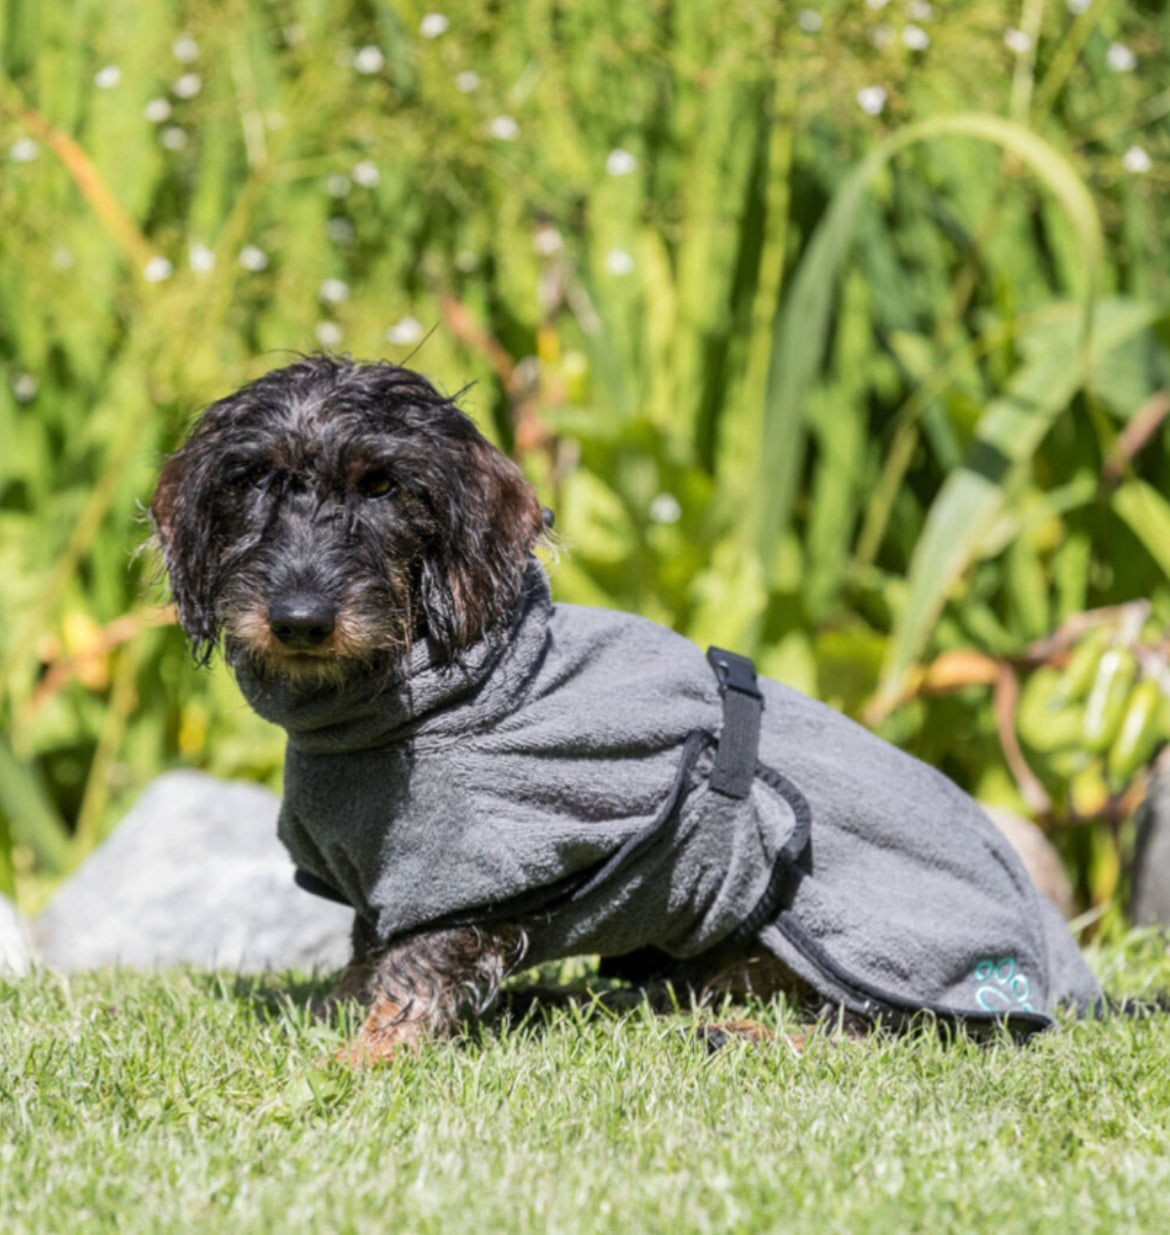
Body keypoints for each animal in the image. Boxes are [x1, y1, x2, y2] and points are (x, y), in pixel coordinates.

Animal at [153, 355, 1106, 1062]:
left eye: (384, 486)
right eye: (255, 479)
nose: (300, 618)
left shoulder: (464, 880)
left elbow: (413, 975)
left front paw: (358, 1061)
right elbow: (367, 959)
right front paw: (333, 1018)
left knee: (898, 1032)